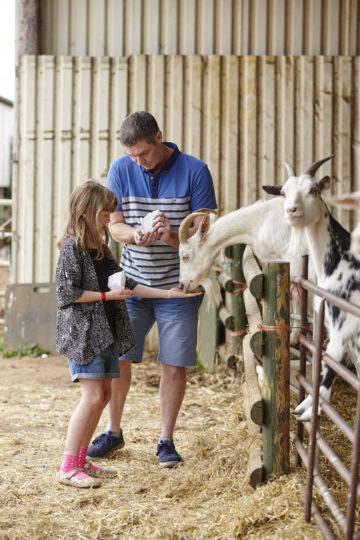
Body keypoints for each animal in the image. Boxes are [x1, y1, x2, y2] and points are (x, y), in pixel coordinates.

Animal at [180, 196, 312, 344]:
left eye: (185, 257)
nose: (183, 284)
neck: (259, 224)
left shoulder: (295, 262)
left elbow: (295, 296)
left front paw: (294, 337)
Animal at [262, 155, 360, 422]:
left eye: (313, 190)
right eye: (283, 192)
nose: (291, 210)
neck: (339, 259)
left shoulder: (341, 323)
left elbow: (330, 361)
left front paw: (307, 409)